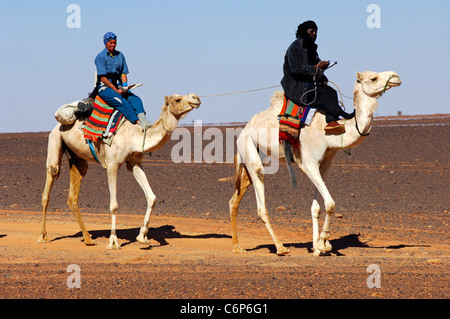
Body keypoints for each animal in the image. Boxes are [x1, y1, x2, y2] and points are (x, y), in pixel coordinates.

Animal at [38, 94, 200, 249]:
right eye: (177, 99)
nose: (196, 97)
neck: (133, 137)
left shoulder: (134, 163)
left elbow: (151, 197)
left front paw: (142, 237)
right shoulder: (112, 165)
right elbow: (114, 205)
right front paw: (113, 242)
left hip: (77, 158)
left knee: (73, 197)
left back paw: (88, 239)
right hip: (55, 139)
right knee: (49, 182)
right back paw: (43, 236)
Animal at [229, 71, 400, 256]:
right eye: (373, 78)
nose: (396, 76)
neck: (330, 133)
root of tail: (244, 130)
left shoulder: (325, 165)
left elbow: (316, 208)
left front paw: (317, 247)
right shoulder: (309, 163)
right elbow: (330, 204)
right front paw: (324, 243)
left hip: (252, 156)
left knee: (235, 199)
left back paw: (237, 246)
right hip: (249, 148)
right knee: (261, 202)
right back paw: (280, 247)